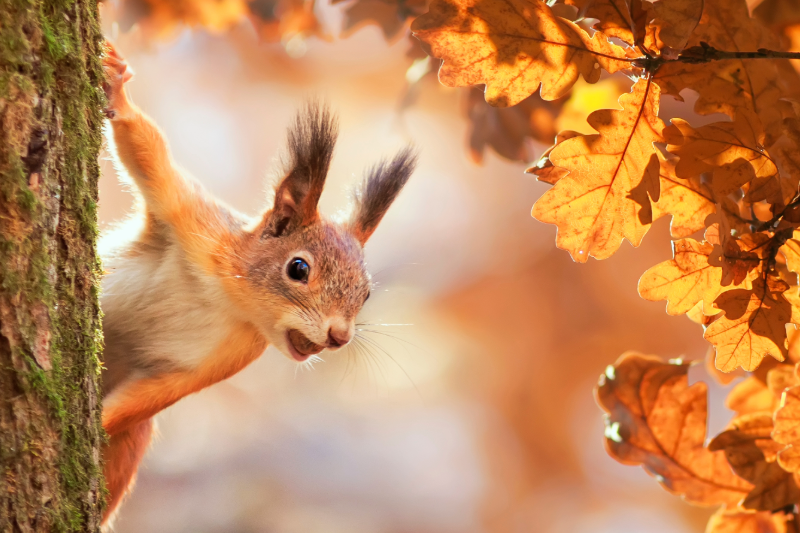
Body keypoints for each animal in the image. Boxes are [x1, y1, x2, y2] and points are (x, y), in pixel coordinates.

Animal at [98, 42, 418, 524]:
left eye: (365, 293)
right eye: (298, 269)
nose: (340, 336)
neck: (228, 297)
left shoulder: (226, 357)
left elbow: (146, 399)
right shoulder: (196, 221)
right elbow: (147, 149)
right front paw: (118, 88)